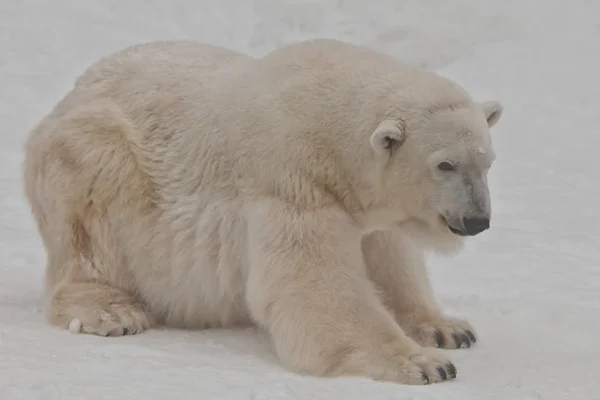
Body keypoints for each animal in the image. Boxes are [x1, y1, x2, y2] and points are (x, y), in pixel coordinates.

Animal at [22, 39, 502, 386]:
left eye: (487, 160)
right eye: (445, 164)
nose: (478, 220)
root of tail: (70, 94)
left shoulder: (365, 206)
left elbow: (389, 259)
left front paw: (447, 329)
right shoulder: (291, 181)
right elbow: (315, 286)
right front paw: (424, 364)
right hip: (96, 151)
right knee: (90, 221)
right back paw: (114, 312)